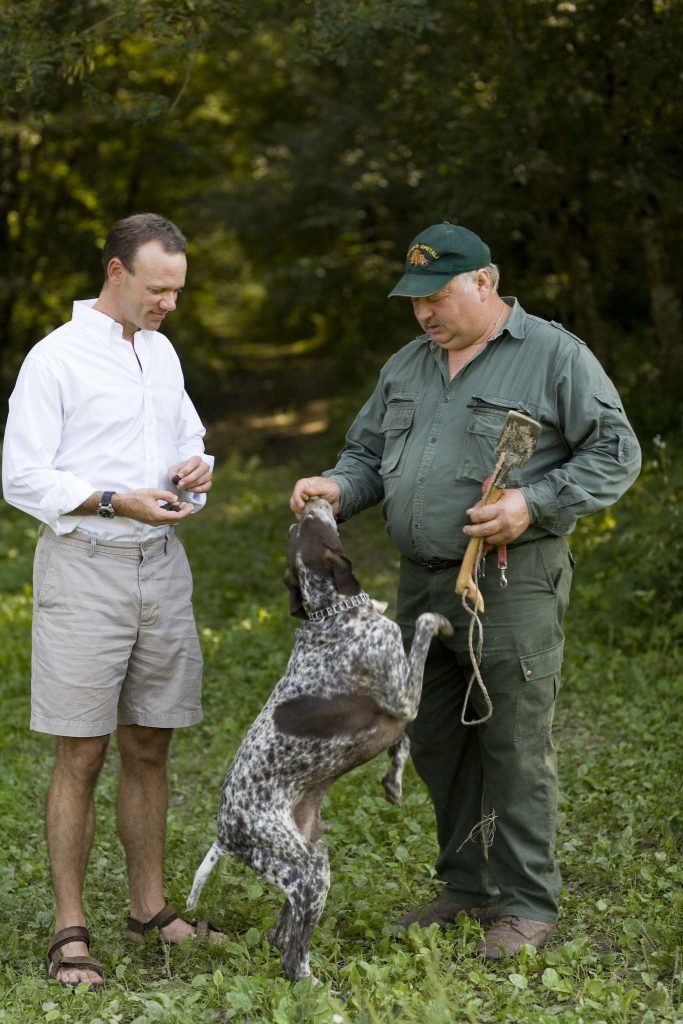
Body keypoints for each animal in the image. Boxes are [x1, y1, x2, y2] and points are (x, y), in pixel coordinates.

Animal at [188, 499, 454, 978]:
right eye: (313, 523)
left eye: (300, 527)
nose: (312, 501)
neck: (333, 613)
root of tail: (226, 833)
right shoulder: (404, 697)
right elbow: (424, 626)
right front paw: (440, 620)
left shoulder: (397, 715)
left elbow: (402, 744)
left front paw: (394, 783)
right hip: (308, 871)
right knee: (292, 955)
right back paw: (314, 985)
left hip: (310, 859)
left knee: (281, 933)